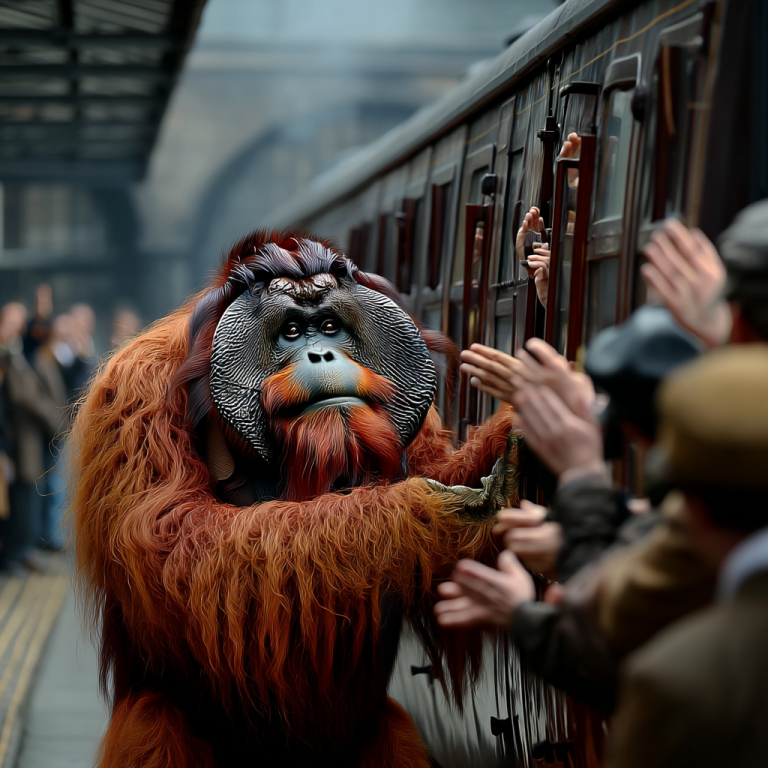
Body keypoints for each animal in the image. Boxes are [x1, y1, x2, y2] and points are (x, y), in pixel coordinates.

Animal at [70, 230, 520, 768]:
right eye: (289, 332)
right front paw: (435, 510)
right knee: (156, 720)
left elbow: (438, 475)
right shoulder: (137, 397)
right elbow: (179, 541)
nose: (321, 355)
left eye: (328, 326)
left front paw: (515, 429)